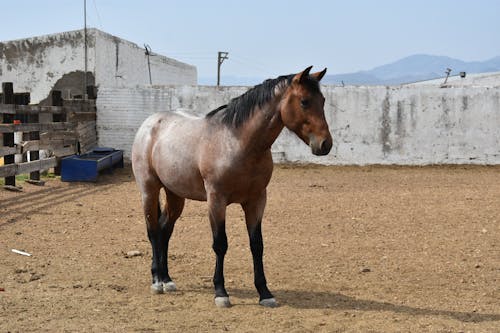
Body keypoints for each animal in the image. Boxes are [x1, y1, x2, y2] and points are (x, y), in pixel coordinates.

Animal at [132, 66, 332, 308]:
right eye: (304, 101)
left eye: (322, 100)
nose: (325, 144)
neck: (238, 143)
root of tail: (150, 123)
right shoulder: (217, 201)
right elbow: (220, 244)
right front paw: (220, 292)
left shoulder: (256, 201)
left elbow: (257, 245)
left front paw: (264, 292)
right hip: (149, 191)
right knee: (153, 231)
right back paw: (156, 281)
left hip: (175, 194)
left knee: (165, 230)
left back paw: (167, 278)